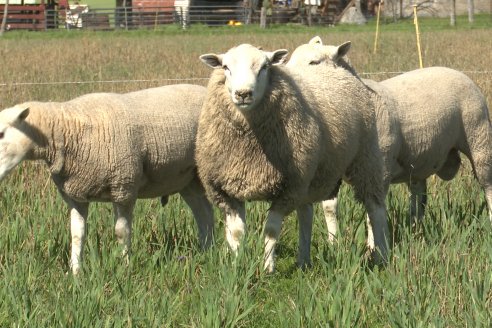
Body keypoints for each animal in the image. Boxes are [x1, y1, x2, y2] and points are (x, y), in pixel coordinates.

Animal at [0, 84, 215, 274]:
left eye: (2, 133)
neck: (68, 130)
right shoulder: (75, 196)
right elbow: (77, 234)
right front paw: (75, 272)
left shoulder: (123, 187)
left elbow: (122, 232)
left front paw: (125, 268)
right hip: (188, 180)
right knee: (204, 213)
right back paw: (206, 251)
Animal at [196, 43, 392, 272]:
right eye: (226, 67)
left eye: (265, 67)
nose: (243, 93)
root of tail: (339, 70)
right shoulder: (225, 190)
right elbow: (236, 232)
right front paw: (237, 265)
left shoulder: (288, 188)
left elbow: (271, 229)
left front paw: (268, 267)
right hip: (314, 174)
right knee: (306, 213)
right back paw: (304, 259)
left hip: (365, 158)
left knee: (375, 207)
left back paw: (381, 255)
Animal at [288, 36, 492, 243]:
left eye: (314, 62)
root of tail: (457, 72)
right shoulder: (334, 169)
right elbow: (329, 207)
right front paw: (333, 243)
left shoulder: (379, 171)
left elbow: (372, 213)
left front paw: (373, 246)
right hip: (419, 160)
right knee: (418, 196)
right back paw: (415, 230)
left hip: (479, 138)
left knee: (487, 185)